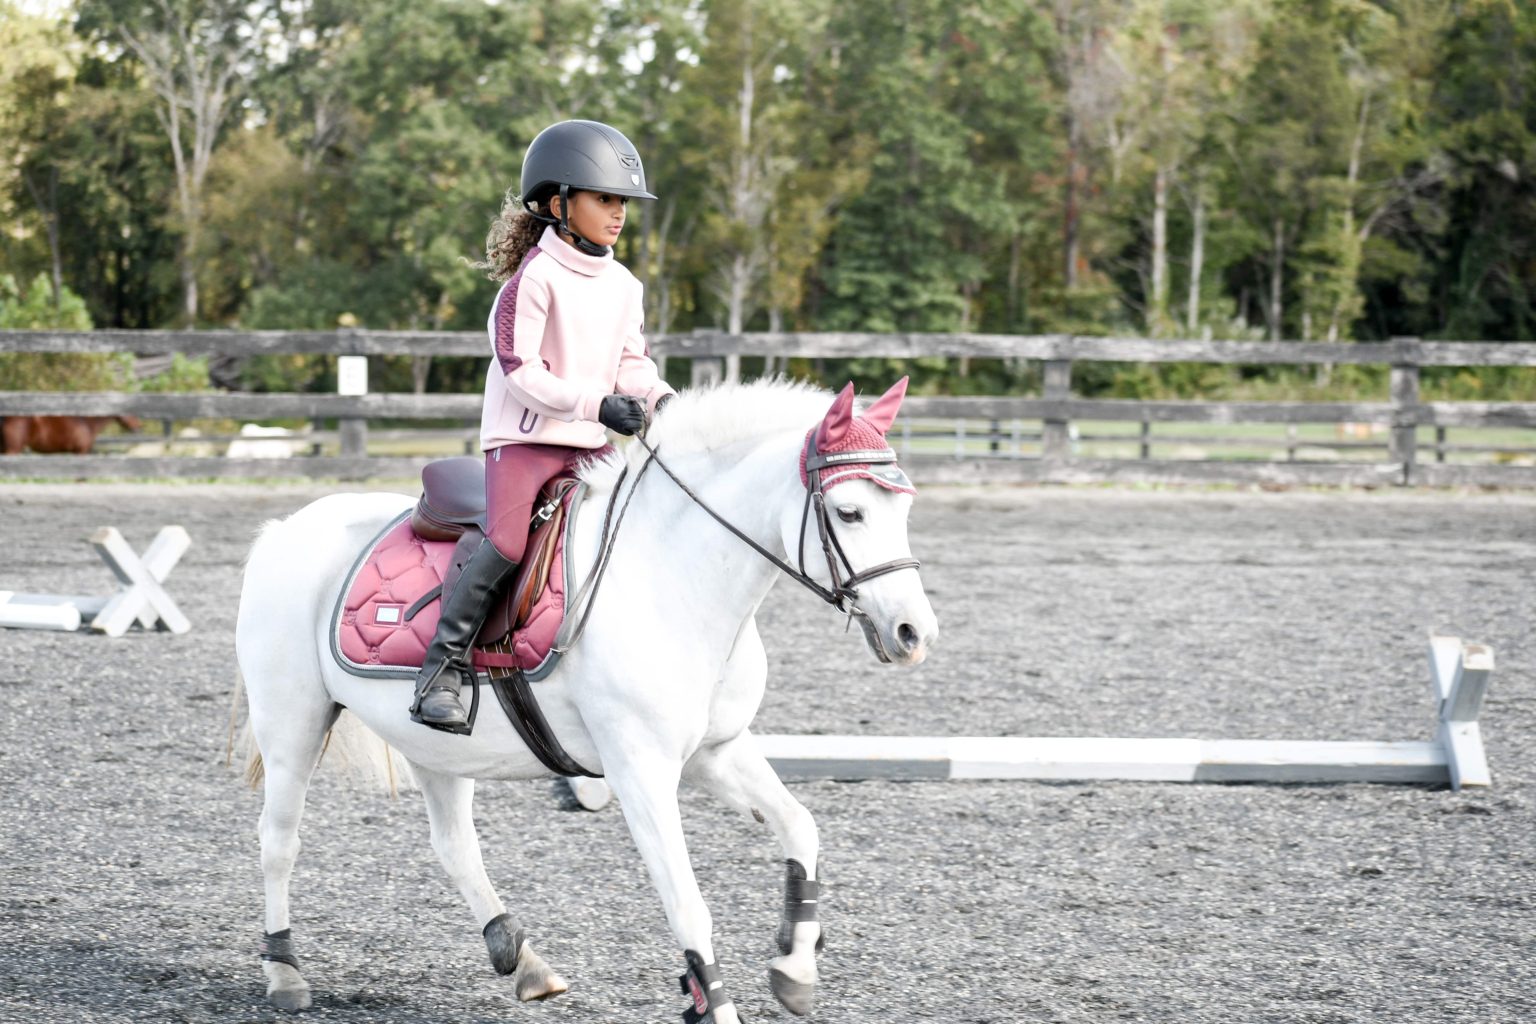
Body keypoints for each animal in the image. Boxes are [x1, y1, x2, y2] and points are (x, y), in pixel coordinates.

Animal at [235, 377, 939, 1022]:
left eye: (904, 511)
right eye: (849, 512)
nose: (915, 633)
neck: (671, 576)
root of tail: (285, 528)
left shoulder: (716, 752)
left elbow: (800, 827)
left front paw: (794, 967)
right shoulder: (640, 772)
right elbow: (688, 905)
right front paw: (714, 1001)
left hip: (435, 742)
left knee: (454, 846)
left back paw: (524, 962)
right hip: (292, 722)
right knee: (278, 839)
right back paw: (285, 971)